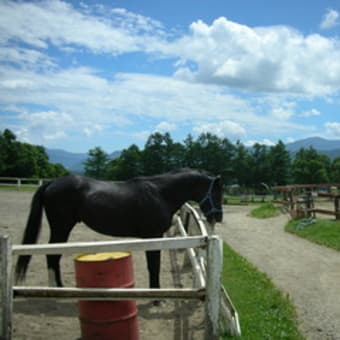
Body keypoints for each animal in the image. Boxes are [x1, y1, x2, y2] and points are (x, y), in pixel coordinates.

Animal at [15, 167, 223, 290]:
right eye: (216, 193)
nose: (218, 217)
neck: (160, 193)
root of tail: (51, 183)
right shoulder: (153, 236)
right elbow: (153, 266)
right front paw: (155, 296)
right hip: (61, 228)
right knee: (52, 255)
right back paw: (57, 287)